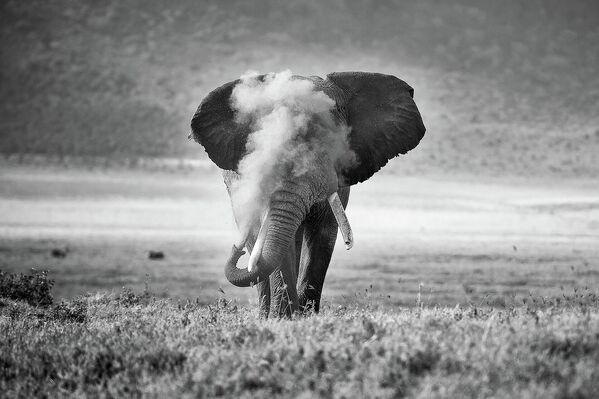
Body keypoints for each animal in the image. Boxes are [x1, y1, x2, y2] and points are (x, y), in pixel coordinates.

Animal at [192, 70, 426, 318]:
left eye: (332, 141)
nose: (234, 251)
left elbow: (323, 235)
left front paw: (303, 316)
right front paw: (284, 318)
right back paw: (265, 314)